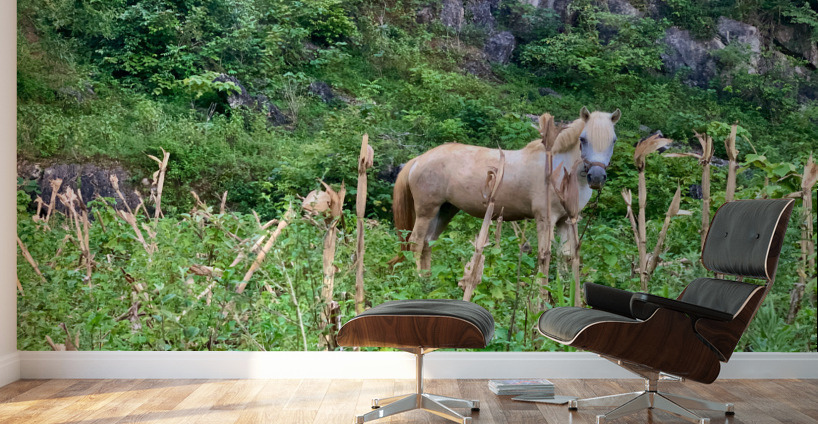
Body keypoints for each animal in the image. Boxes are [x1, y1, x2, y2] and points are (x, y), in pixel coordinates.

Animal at [391, 106, 620, 270]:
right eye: (583, 139)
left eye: (613, 140)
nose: (596, 177)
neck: (558, 170)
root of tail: (418, 160)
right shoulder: (545, 219)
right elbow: (543, 256)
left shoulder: (567, 221)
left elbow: (564, 257)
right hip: (426, 211)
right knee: (416, 242)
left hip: (445, 210)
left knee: (428, 242)